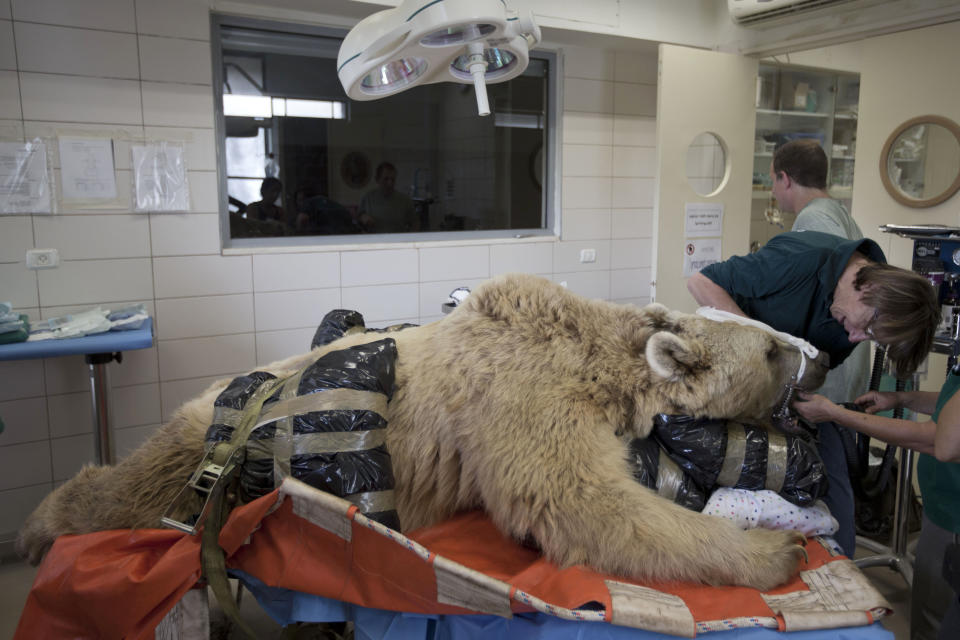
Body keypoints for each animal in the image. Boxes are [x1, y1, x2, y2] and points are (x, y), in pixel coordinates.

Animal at [15, 272, 828, 588]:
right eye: (769, 346)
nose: (815, 363)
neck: (594, 352)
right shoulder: (523, 393)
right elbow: (576, 500)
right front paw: (773, 550)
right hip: (210, 435)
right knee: (129, 488)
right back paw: (35, 527)